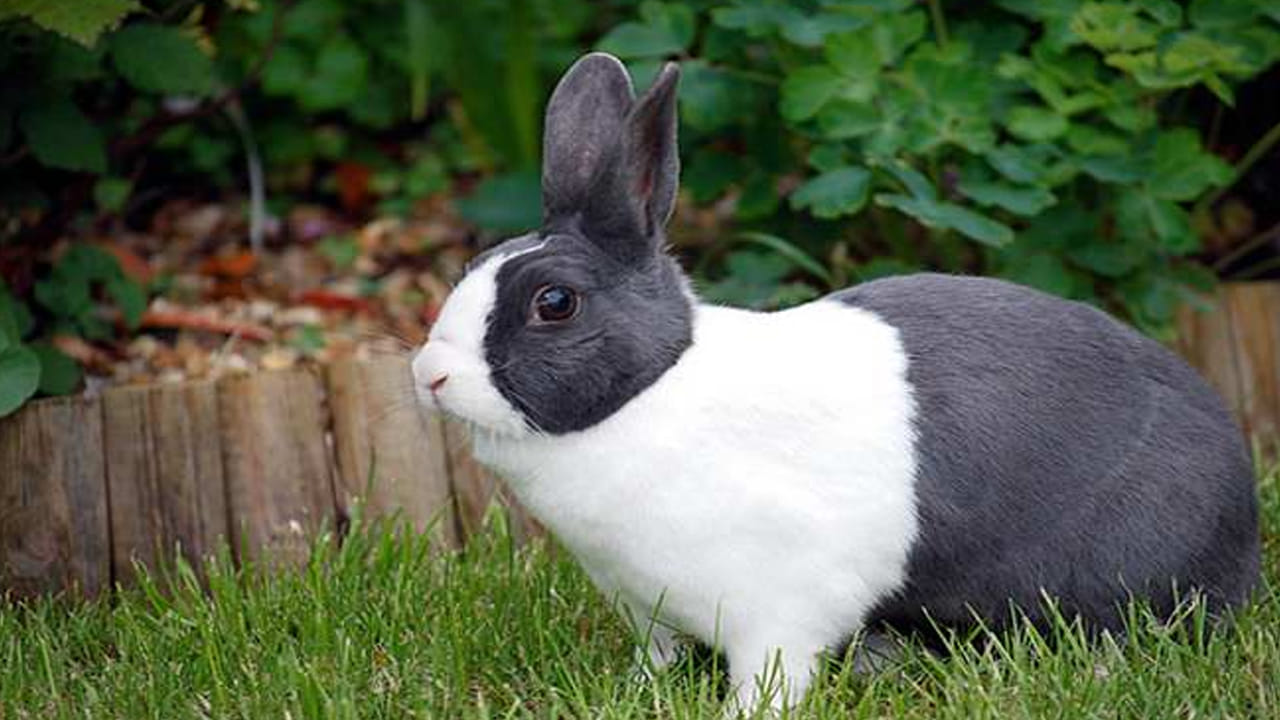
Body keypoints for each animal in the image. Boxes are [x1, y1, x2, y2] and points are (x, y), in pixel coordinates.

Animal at [411, 52, 1261, 713]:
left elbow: (772, 676)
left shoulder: (777, 608)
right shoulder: (645, 606)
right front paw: (634, 694)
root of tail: (1243, 520)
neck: (648, 392)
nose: (429, 374)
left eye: (555, 303)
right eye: (471, 265)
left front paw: (741, 716)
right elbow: (656, 659)